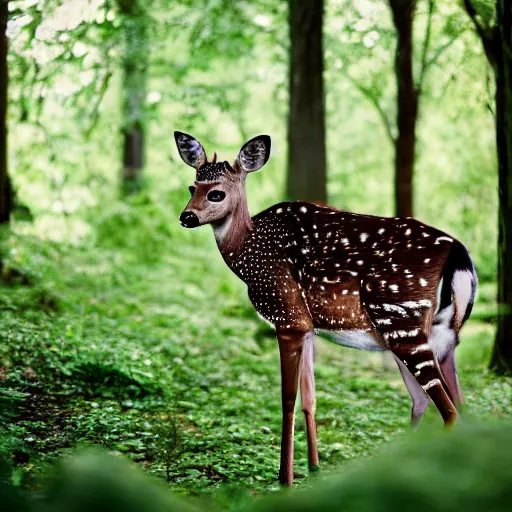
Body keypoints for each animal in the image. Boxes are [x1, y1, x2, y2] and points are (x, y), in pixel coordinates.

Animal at [174, 130, 478, 486]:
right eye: (192, 187)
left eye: (217, 193)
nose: (186, 217)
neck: (250, 253)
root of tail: (460, 254)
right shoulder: (308, 326)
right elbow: (310, 397)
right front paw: (314, 467)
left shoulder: (287, 316)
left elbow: (287, 400)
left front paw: (285, 478)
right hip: (436, 332)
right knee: (443, 403)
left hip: (402, 318)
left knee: (448, 410)